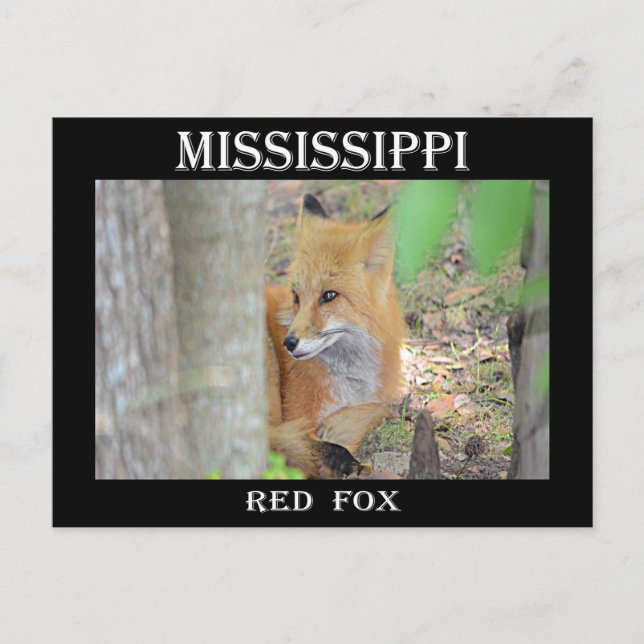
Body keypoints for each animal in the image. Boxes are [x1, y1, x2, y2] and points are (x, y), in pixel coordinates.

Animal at [265, 193, 405, 479]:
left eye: (329, 295)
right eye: (297, 297)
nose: (289, 343)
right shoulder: (296, 416)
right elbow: (311, 445)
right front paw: (342, 461)